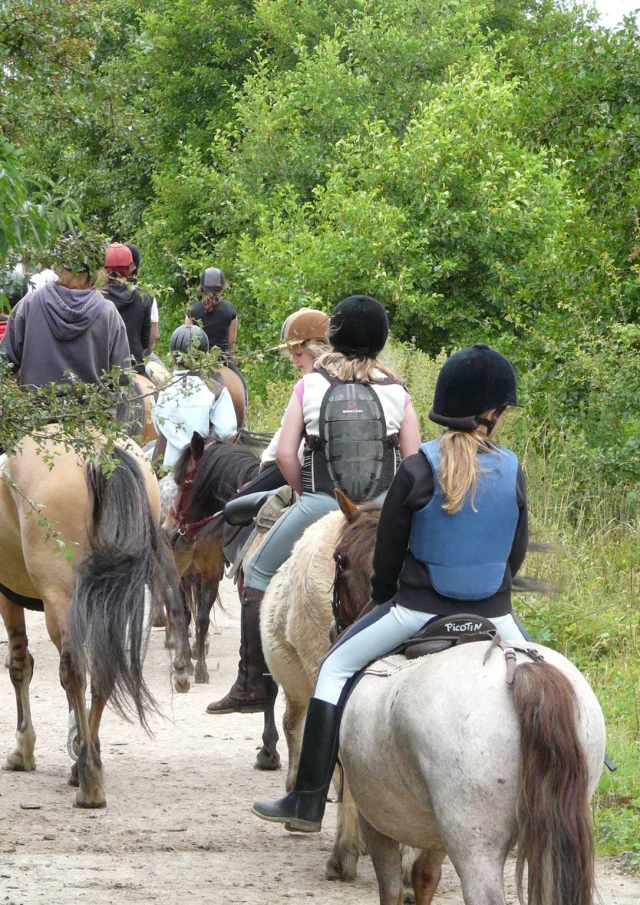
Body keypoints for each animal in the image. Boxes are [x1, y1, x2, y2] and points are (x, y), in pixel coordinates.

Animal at [0, 428, 187, 808]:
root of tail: (100, 452)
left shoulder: (7, 594)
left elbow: (19, 665)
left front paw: (24, 748)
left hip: (61, 598)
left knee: (73, 670)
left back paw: (88, 778)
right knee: (103, 667)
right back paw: (89, 762)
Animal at [260, 494, 606, 903]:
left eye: (339, 559)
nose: (334, 630)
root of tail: (520, 671)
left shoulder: (378, 813)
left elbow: (391, 883)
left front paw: (343, 858)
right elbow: (425, 874)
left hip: (475, 843)